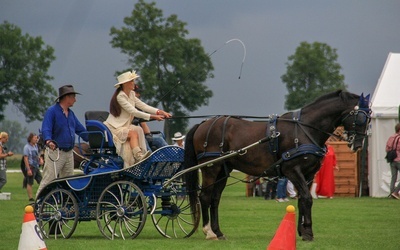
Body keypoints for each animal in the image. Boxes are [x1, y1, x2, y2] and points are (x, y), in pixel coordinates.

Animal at [184, 90, 372, 240]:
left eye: (369, 118)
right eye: (360, 118)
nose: (358, 144)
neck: (305, 129)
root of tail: (204, 124)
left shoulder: (308, 174)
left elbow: (302, 200)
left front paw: (302, 231)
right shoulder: (293, 171)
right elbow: (307, 198)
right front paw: (308, 232)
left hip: (223, 170)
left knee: (215, 199)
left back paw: (218, 232)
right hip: (210, 168)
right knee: (205, 197)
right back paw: (209, 231)